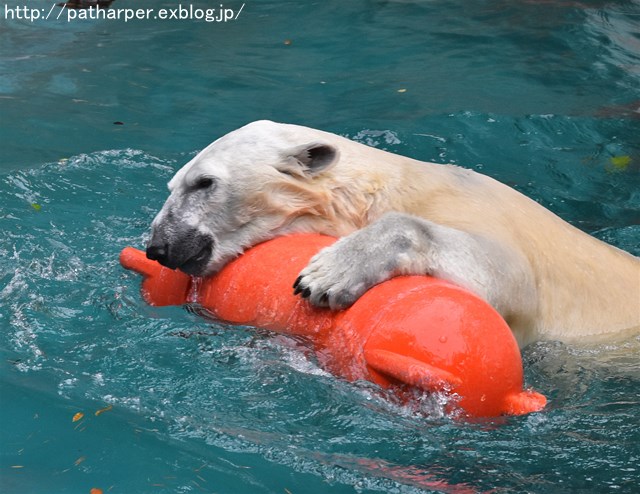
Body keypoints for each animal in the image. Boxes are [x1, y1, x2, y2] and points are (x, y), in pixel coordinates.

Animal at [148, 119, 640, 348]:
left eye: (204, 183)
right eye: (172, 185)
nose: (159, 246)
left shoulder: (478, 209)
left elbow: (507, 275)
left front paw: (328, 275)